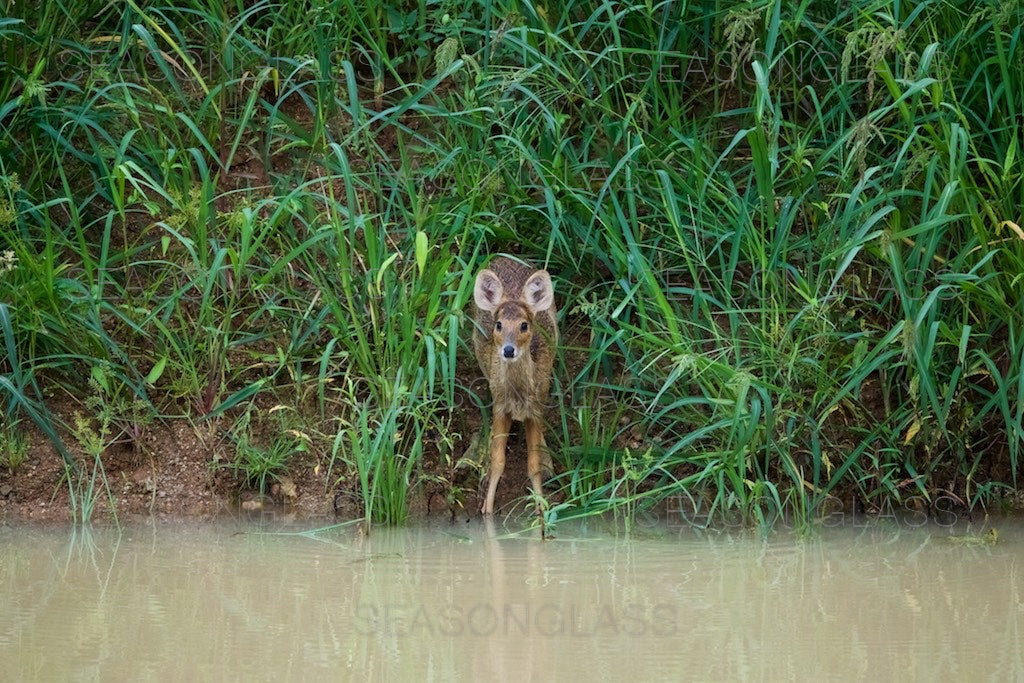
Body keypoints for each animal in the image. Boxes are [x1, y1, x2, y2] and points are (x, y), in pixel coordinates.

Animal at [473, 259, 561, 516]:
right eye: (499, 325)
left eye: (524, 325)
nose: (509, 350)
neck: (518, 396)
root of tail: (504, 259)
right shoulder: (500, 407)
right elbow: (498, 461)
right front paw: (487, 510)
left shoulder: (536, 408)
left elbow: (533, 465)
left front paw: (541, 509)